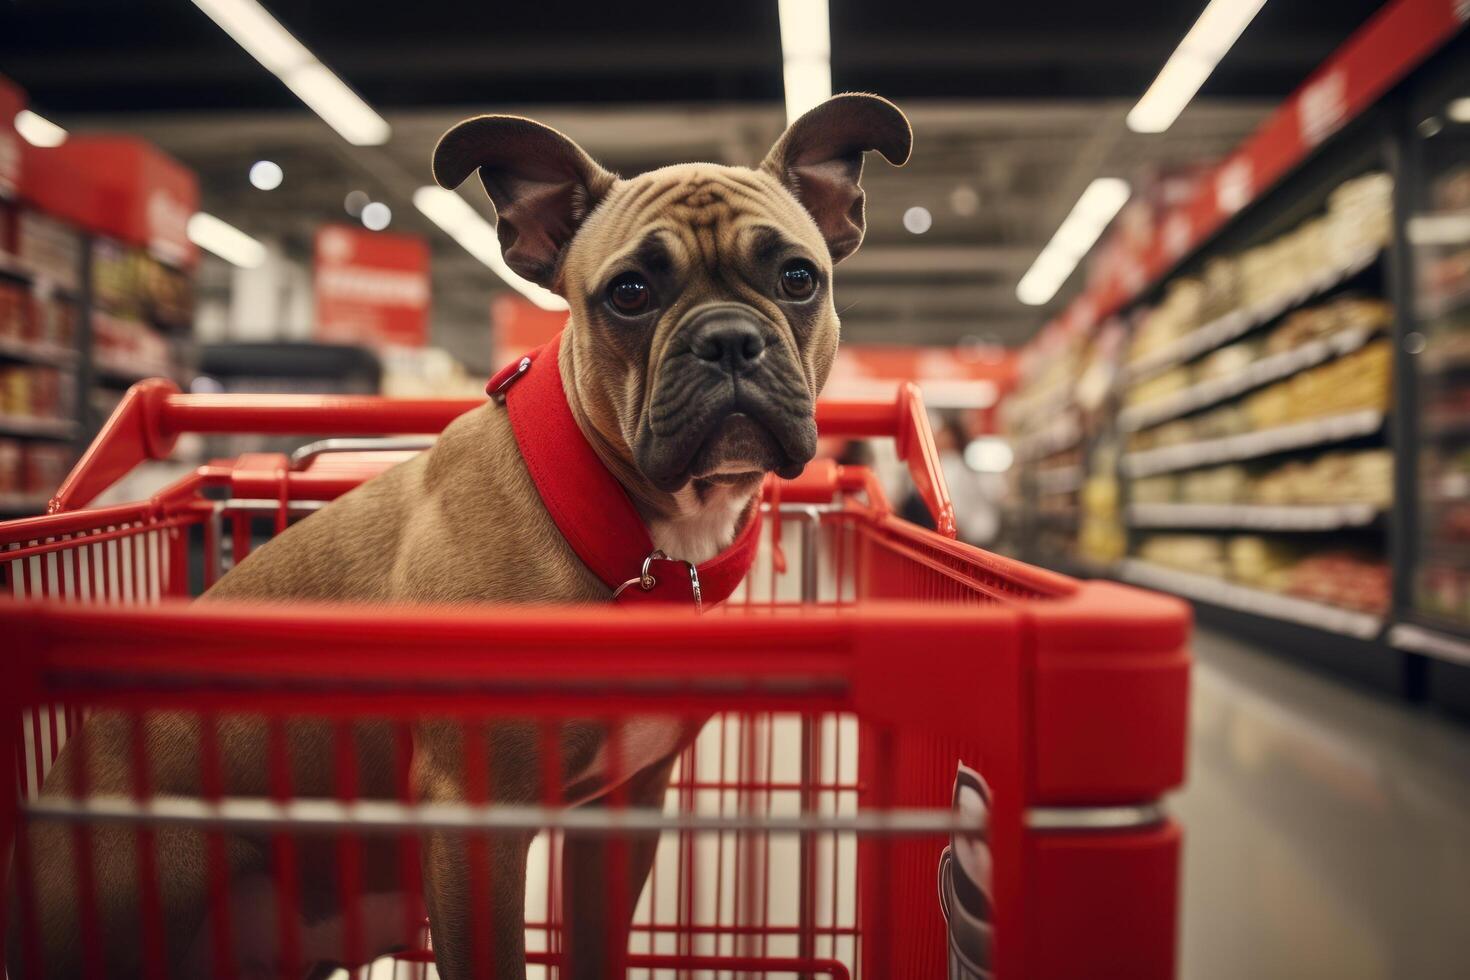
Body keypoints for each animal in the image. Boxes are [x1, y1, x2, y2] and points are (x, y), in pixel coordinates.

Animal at [8, 94, 905, 980]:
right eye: (629, 293)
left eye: (798, 278)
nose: (728, 339)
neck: (632, 527)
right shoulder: (478, 827)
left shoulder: (621, 814)